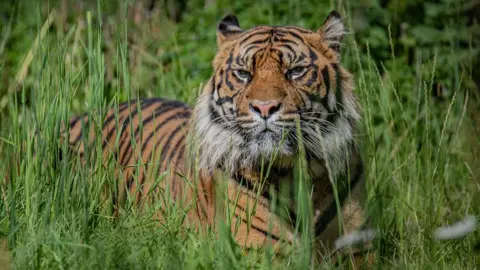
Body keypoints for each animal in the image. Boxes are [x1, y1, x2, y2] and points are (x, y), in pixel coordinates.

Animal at [65, 10, 370, 266]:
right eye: (243, 74)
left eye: (295, 71)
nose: (265, 108)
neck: (294, 171)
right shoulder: (258, 252)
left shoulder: (357, 250)